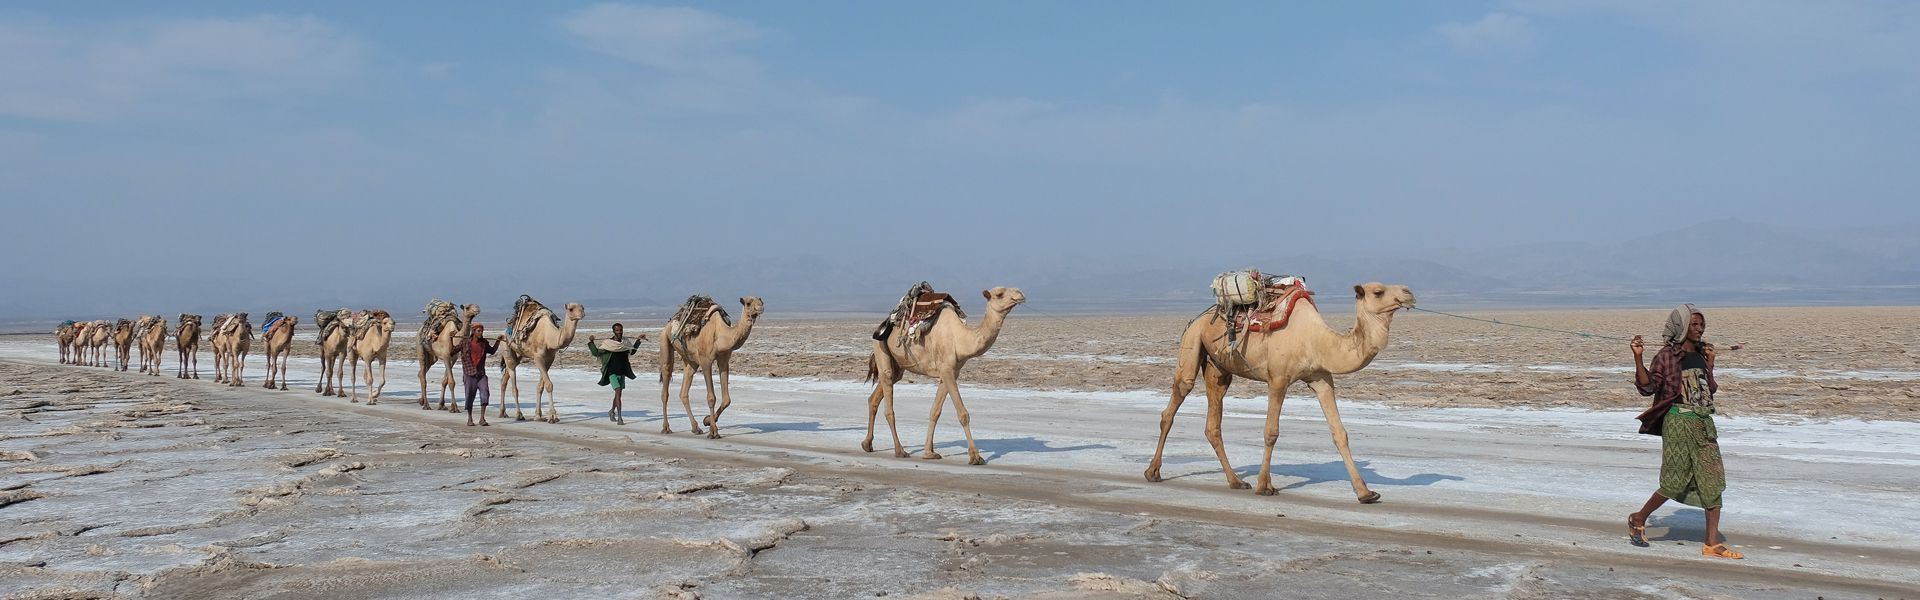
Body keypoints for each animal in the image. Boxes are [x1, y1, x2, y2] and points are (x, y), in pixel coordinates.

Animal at [659, 296, 764, 438]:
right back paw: (666, 428)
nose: (760, 308)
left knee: (684, 391)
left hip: (690, 360)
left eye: (761, 301)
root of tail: (669, 324)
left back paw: (696, 428)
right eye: (748, 303)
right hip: (665, 340)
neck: (721, 334)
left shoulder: (724, 360)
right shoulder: (705, 361)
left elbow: (726, 399)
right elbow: (711, 397)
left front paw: (707, 420)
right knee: (666, 380)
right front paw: (713, 432)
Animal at [862, 287, 1026, 465]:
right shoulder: (947, 369)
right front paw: (975, 456)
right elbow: (963, 414)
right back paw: (900, 450)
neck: (960, 339)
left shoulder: (951, 372)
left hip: (898, 365)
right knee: (888, 405)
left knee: (874, 397)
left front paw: (929, 452)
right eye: (1000, 294)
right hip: (880, 347)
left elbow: (935, 412)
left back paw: (867, 444)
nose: (1020, 294)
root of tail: (884, 323)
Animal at [1142, 282, 1415, 503]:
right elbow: (1271, 432)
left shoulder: (1321, 378)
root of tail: (1202, 316)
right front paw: (1265, 486)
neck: (1317, 340)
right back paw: (1153, 472)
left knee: (1213, 423)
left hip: (1219, 367)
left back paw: (1236, 481)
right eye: (1378, 292)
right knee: (1175, 402)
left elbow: (1340, 433)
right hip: (1192, 341)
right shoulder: (1278, 379)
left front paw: (1365, 493)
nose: (1409, 293)